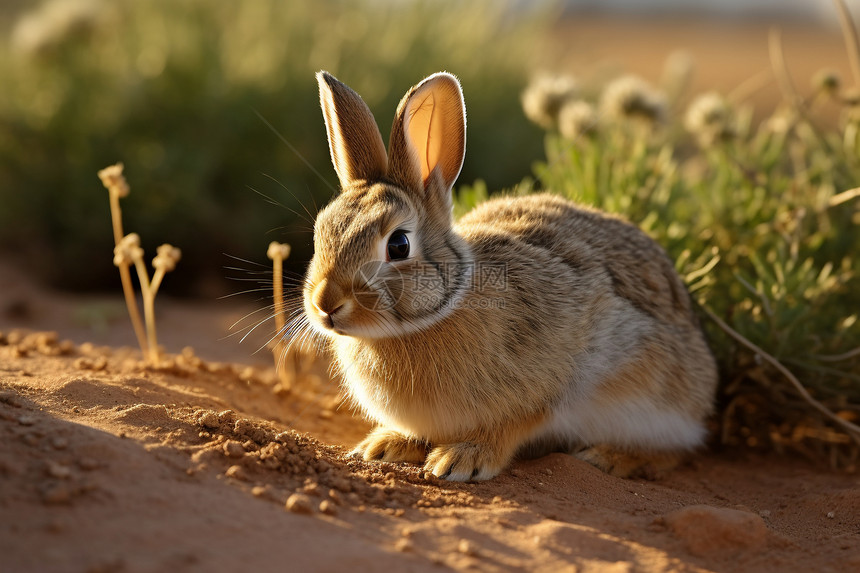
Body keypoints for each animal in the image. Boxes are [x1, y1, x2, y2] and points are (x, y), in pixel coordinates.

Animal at [302, 71, 720, 482]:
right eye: (321, 231)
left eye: (399, 245)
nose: (325, 304)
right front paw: (384, 446)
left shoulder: (549, 388)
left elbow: (511, 426)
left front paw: (459, 460)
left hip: (658, 402)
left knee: (677, 451)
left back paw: (608, 457)